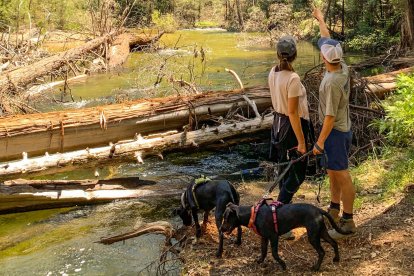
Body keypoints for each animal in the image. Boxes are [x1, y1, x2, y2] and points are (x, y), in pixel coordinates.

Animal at [222, 199, 350, 270]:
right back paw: (336, 259)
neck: (253, 215)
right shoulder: (264, 238)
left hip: (313, 236)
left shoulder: (274, 237)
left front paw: (283, 265)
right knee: (334, 243)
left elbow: (274, 254)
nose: (221, 229)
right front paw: (259, 261)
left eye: (227, 218)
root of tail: (319, 210)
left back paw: (316, 268)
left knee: (322, 252)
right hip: (321, 232)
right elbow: (263, 251)